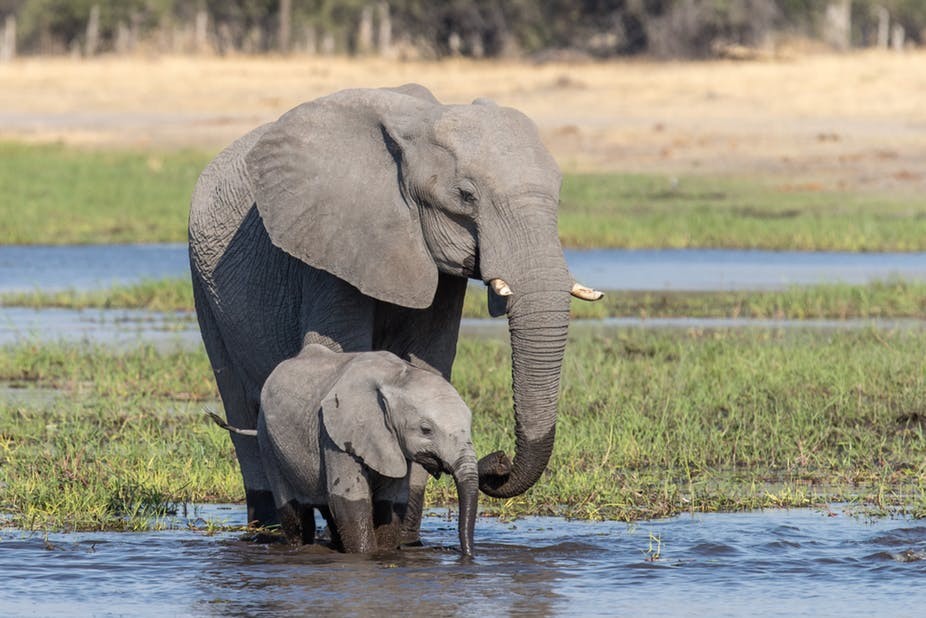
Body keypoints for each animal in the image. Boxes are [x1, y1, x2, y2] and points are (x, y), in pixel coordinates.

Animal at [211, 342, 478, 552]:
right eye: (426, 430)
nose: (465, 554)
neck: (398, 376)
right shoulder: (334, 434)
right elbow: (351, 503)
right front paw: (366, 555)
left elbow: (388, 505)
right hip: (268, 437)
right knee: (295, 512)